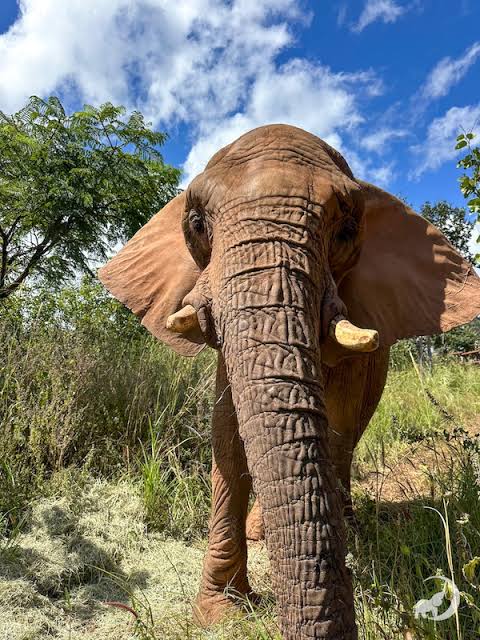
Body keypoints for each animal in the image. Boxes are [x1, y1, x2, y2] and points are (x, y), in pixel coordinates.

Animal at [99, 124, 480, 640]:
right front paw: (221, 613)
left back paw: (347, 525)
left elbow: (334, 420)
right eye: (196, 224)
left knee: (347, 436)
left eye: (346, 231)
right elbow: (227, 431)